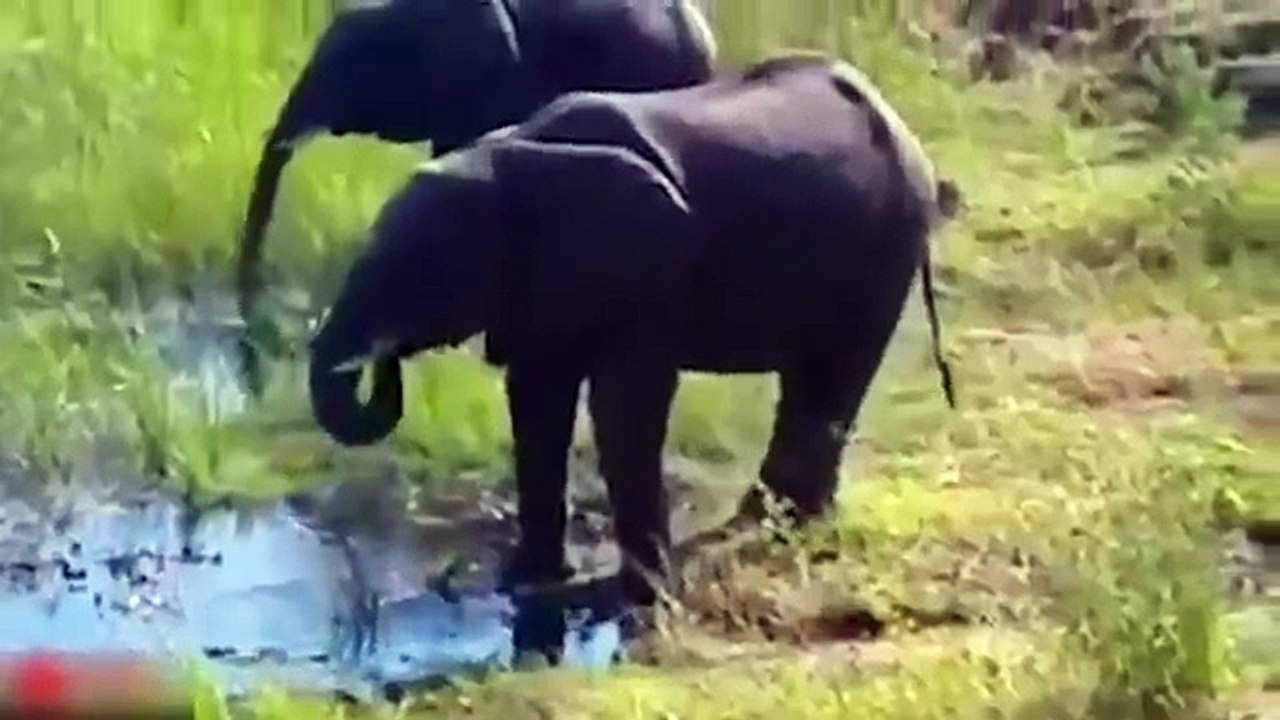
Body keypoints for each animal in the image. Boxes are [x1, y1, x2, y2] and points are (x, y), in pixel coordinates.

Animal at [306, 52, 959, 607]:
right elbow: (537, 398)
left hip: (887, 246)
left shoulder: (642, 263)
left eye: (414, 273)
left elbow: (624, 406)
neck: (508, 157)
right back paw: (767, 519)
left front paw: (643, 595)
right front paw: (526, 584)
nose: (381, 359)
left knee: (836, 372)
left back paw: (790, 525)